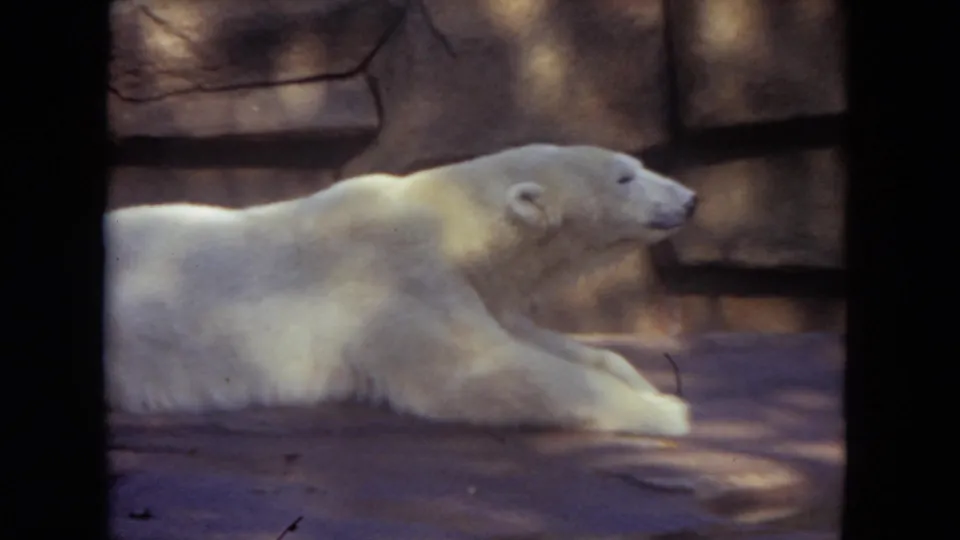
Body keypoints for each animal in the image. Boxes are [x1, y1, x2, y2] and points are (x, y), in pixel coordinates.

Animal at [104, 143, 698, 436]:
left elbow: (535, 337)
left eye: (638, 164)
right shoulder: (396, 279)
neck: (448, 223)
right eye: (624, 177)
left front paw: (641, 381)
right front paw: (667, 412)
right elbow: (478, 373)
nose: (691, 199)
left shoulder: (473, 286)